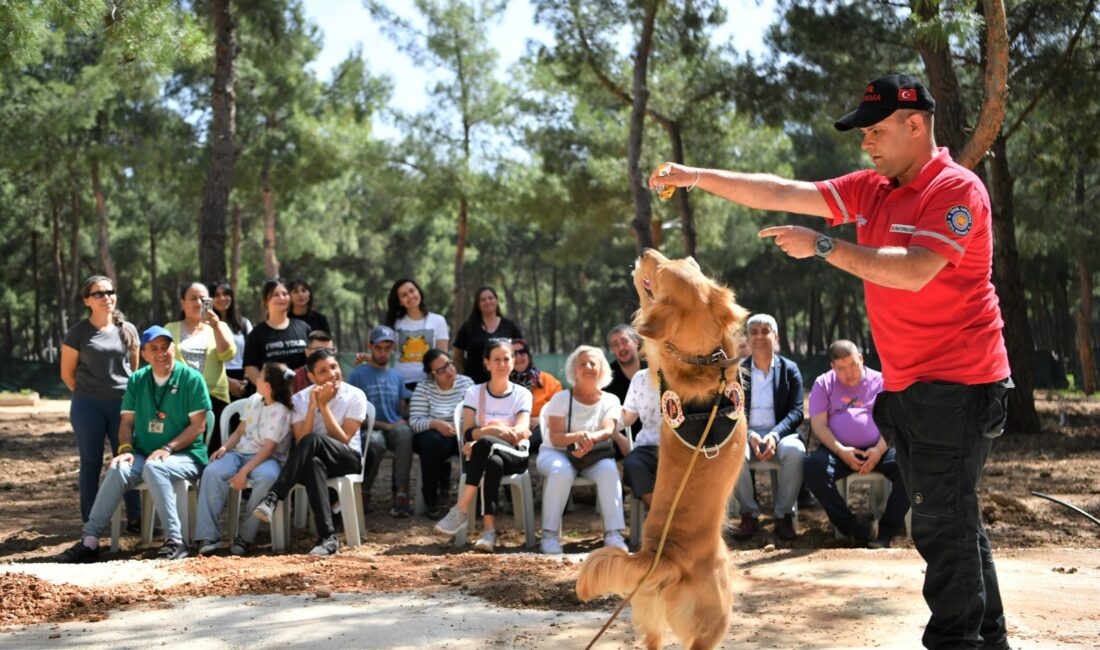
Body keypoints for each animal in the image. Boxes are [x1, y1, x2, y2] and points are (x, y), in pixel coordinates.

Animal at [576, 250, 748, 650]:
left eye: (685, 261)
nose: (645, 252)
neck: (702, 358)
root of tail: (661, 556)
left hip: (647, 609)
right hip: (716, 617)